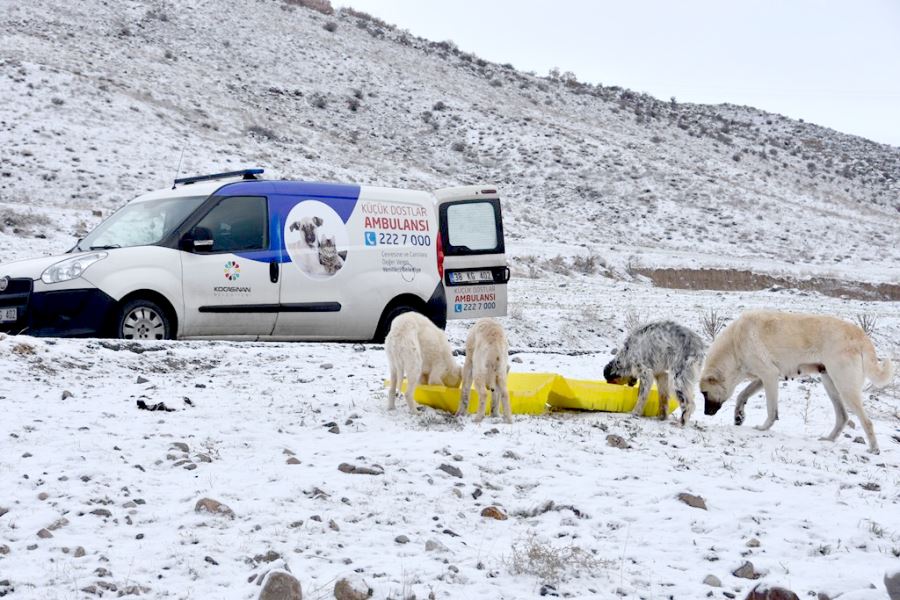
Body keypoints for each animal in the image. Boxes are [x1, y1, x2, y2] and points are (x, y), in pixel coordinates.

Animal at [704, 312, 892, 452]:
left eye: (704, 393)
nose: (706, 413)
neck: (734, 345)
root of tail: (861, 336)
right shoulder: (763, 378)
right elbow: (742, 395)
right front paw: (739, 415)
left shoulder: (769, 375)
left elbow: (771, 410)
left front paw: (763, 428)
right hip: (830, 384)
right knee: (843, 417)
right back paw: (828, 439)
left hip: (845, 387)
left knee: (866, 421)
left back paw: (874, 449)